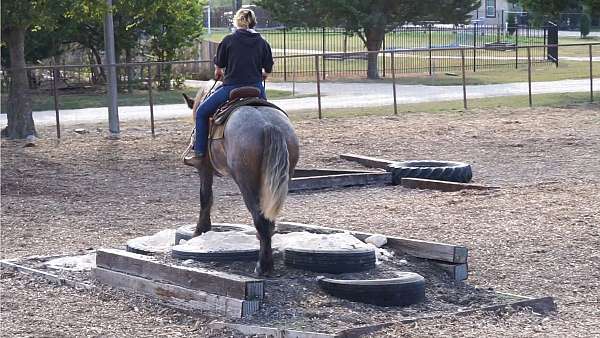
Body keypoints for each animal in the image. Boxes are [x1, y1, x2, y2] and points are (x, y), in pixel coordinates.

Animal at [179, 80, 298, 276]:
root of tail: (268, 125)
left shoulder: (204, 168)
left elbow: (205, 197)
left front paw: (201, 230)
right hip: (281, 178)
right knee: (269, 219)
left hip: (246, 182)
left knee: (260, 219)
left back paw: (263, 266)